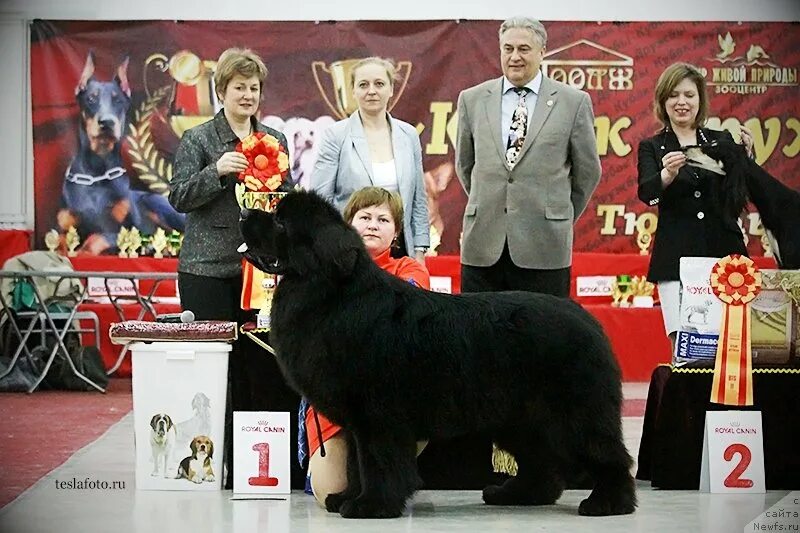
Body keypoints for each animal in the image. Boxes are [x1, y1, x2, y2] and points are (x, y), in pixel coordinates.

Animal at [238, 190, 636, 516]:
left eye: (279, 221)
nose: (243, 212)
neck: (332, 294)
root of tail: (588, 319)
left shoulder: (377, 414)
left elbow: (376, 461)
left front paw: (371, 505)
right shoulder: (357, 421)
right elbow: (356, 464)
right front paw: (348, 497)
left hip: (574, 412)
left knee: (608, 454)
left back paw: (608, 503)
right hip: (520, 418)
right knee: (542, 462)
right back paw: (517, 494)